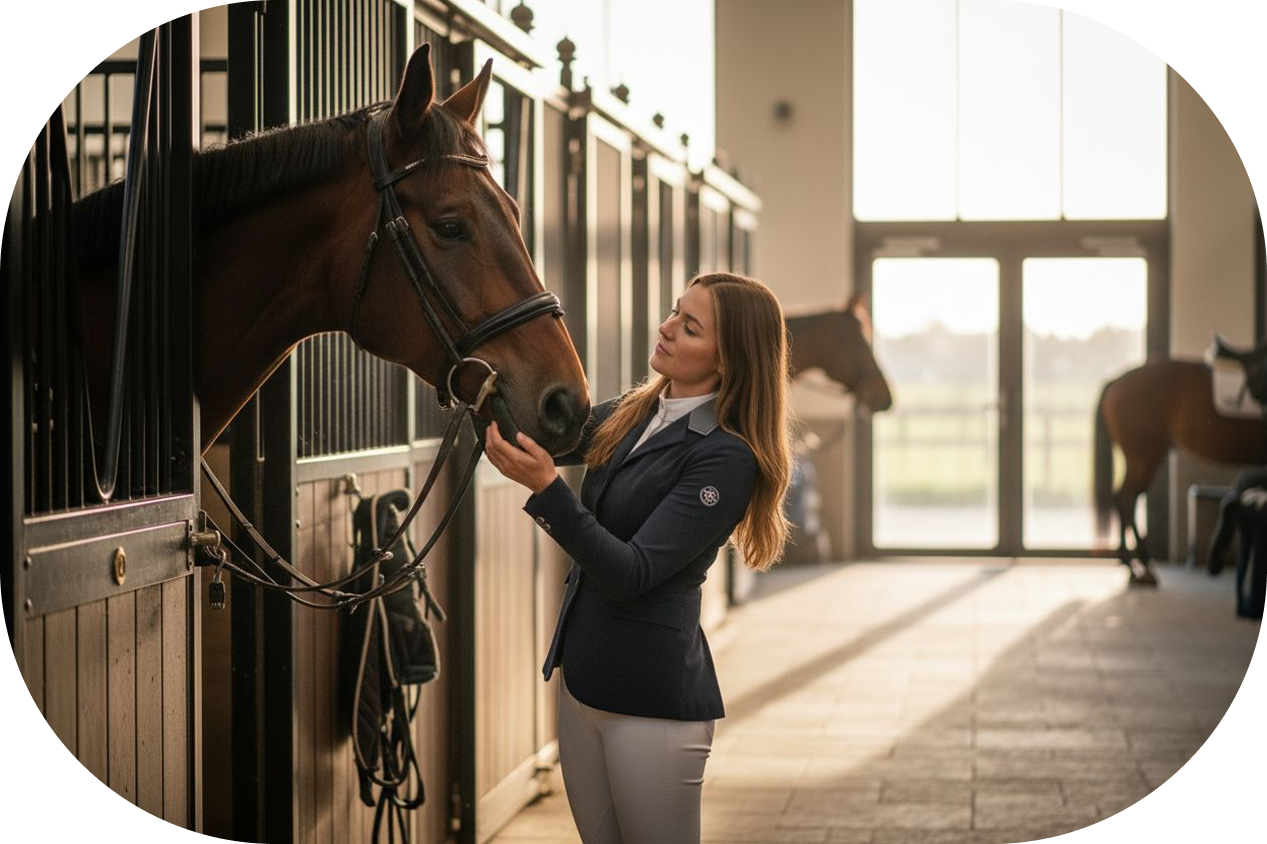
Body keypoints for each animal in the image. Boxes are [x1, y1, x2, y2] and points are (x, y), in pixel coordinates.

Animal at [1093, 354, 1267, 586]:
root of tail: (1115, 380)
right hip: (1144, 453)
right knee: (1126, 498)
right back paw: (1136, 567)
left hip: (1147, 454)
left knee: (1128, 498)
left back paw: (1135, 565)